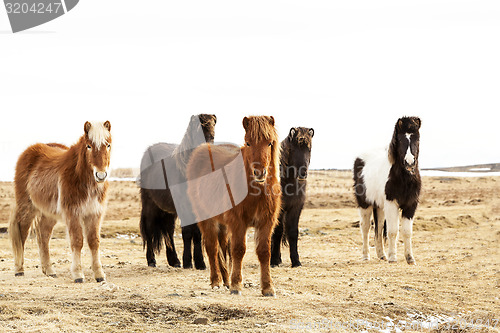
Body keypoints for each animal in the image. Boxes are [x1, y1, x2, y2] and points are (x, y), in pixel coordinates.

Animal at [9, 120, 112, 282]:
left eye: (108, 145)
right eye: (89, 146)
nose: (101, 175)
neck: (81, 178)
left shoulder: (95, 214)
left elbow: (94, 242)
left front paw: (99, 274)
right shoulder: (73, 214)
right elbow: (77, 241)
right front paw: (78, 274)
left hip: (48, 213)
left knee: (43, 235)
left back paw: (49, 270)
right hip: (27, 207)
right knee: (22, 233)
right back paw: (19, 269)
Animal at [138, 113, 216, 268]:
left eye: (213, 135)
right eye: (199, 130)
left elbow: (197, 234)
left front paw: (200, 263)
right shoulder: (184, 205)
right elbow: (187, 232)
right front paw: (188, 262)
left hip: (168, 210)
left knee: (168, 231)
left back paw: (174, 260)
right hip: (150, 204)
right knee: (149, 230)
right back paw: (152, 260)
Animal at [187, 115, 282, 294]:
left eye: (269, 143)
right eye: (248, 142)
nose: (259, 172)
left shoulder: (266, 222)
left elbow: (264, 252)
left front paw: (268, 287)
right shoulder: (238, 222)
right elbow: (238, 250)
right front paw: (236, 285)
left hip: (223, 224)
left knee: (223, 246)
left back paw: (226, 280)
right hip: (206, 218)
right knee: (212, 248)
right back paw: (216, 281)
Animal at [272, 126, 314, 266]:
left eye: (309, 148)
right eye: (293, 149)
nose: (303, 173)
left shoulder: (296, 207)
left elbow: (293, 232)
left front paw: (296, 261)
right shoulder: (279, 209)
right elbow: (277, 231)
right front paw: (273, 260)